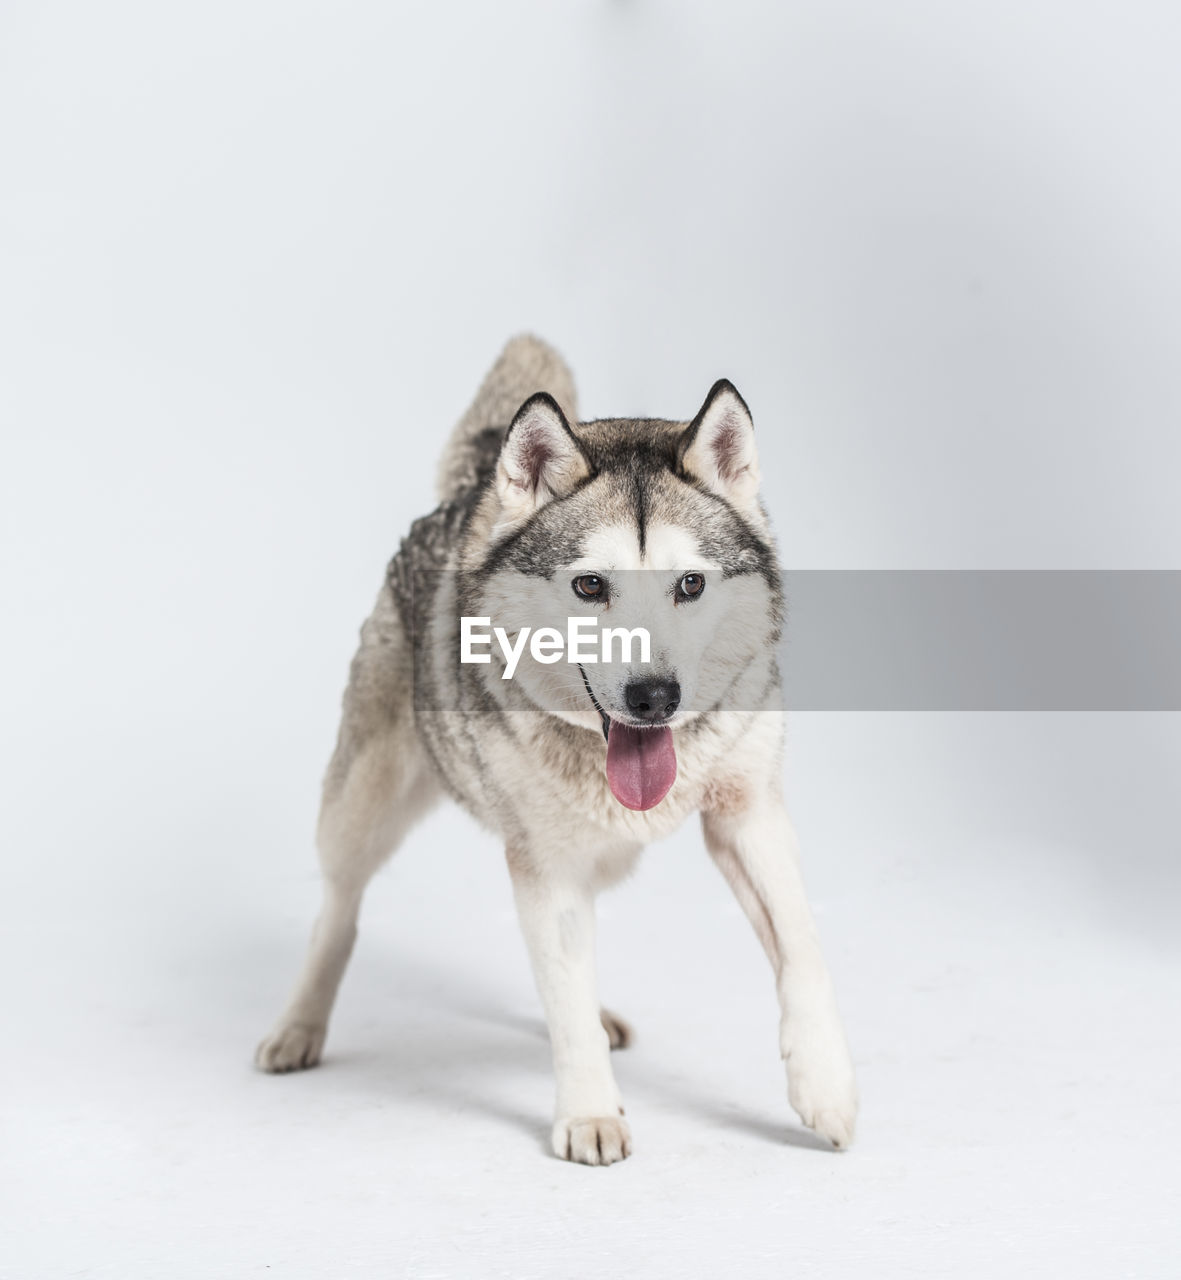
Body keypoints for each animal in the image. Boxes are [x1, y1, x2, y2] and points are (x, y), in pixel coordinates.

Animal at [255, 337, 859, 1162]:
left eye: (690, 584)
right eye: (590, 587)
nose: (652, 697)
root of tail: (472, 487)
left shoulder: (748, 817)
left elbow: (802, 951)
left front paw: (823, 1087)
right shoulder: (544, 861)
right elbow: (563, 997)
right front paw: (589, 1114)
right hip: (361, 809)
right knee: (338, 914)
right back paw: (298, 1026)